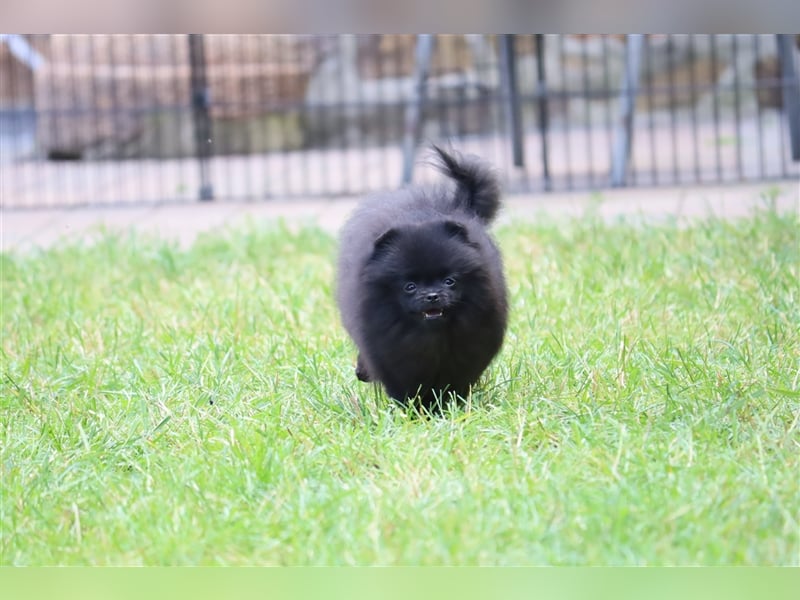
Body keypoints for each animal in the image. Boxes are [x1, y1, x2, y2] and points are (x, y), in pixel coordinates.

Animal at [336, 146, 506, 410]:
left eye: (450, 281)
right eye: (409, 286)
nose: (432, 295)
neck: (431, 337)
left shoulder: (468, 350)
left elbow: (455, 383)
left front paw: (447, 407)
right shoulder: (389, 352)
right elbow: (404, 386)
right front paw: (414, 411)